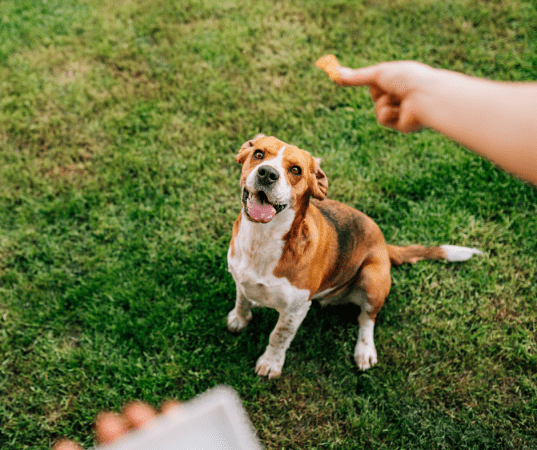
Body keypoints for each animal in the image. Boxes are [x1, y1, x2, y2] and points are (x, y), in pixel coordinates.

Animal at [226, 134, 482, 380]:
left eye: (296, 169)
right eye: (259, 154)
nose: (267, 173)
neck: (262, 239)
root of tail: (384, 245)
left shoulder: (295, 310)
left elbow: (278, 336)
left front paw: (270, 363)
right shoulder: (240, 277)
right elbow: (241, 299)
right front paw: (240, 318)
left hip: (372, 278)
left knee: (367, 318)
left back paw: (365, 350)